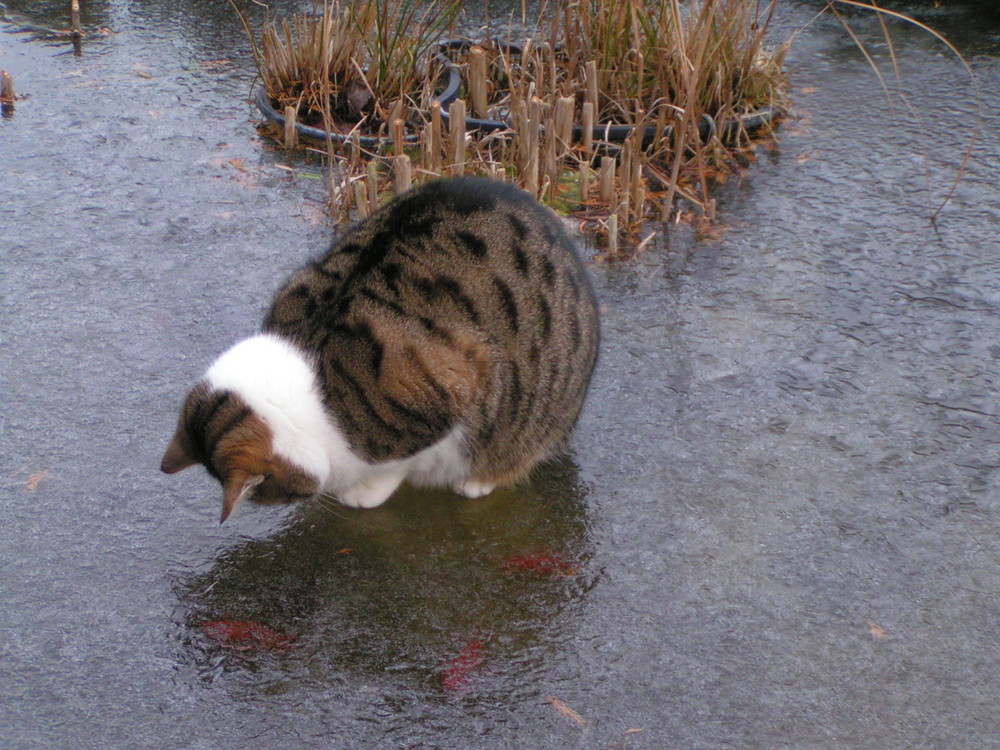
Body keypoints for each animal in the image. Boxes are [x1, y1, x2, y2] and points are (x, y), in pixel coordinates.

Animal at [161, 176, 596, 524]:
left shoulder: (453, 386)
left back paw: (479, 480)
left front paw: (365, 491)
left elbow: (400, 462)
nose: (282, 503)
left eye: (267, 494)